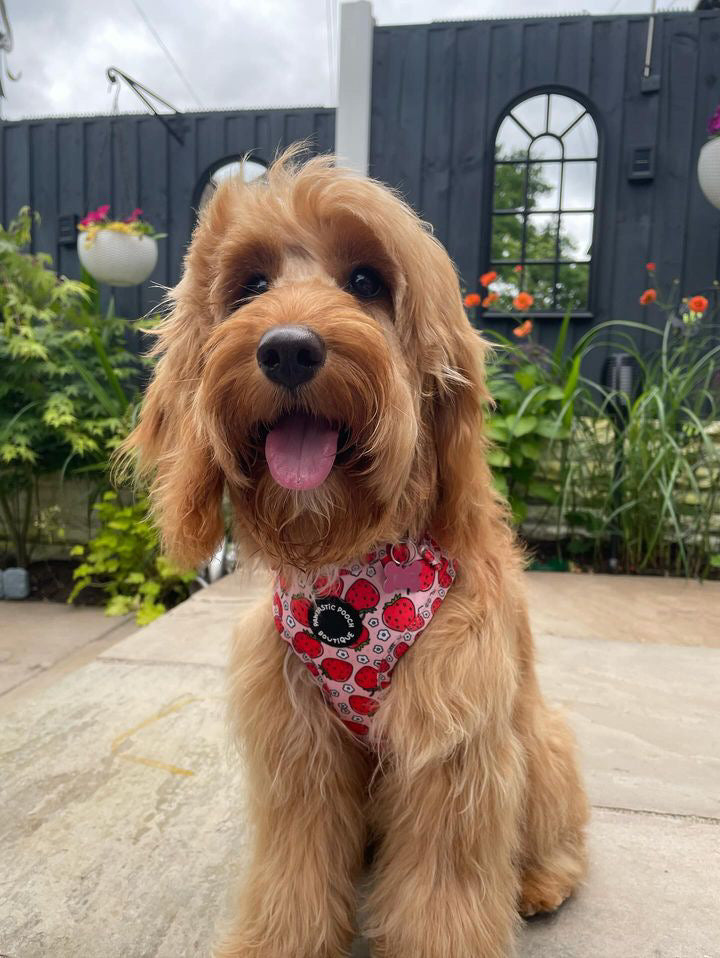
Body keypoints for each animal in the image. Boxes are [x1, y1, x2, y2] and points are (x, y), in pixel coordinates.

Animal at [126, 146, 588, 956]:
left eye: (367, 281)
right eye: (251, 286)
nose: (287, 349)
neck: (355, 571)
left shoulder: (452, 746)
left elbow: (444, 894)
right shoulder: (298, 747)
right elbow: (296, 873)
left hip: (543, 743)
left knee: (554, 834)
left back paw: (538, 882)